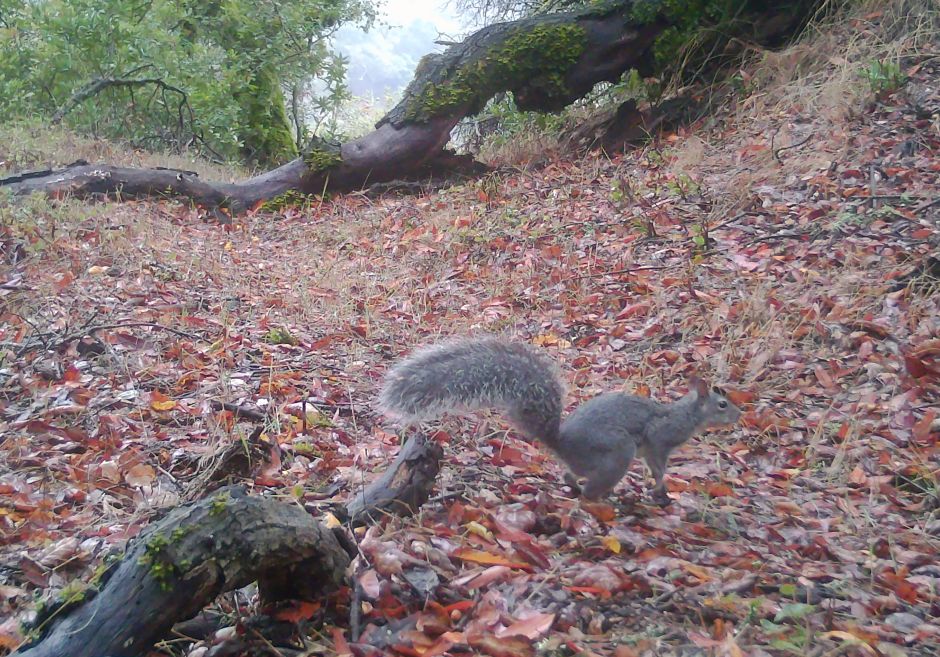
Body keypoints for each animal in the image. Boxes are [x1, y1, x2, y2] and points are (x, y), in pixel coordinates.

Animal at [377, 337, 741, 505]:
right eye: (722, 404)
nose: (740, 415)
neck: (685, 415)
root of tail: (561, 442)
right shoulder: (658, 440)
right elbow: (657, 463)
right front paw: (660, 485)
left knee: (570, 475)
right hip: (618, 451)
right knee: (589, 487)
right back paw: (599, 496)